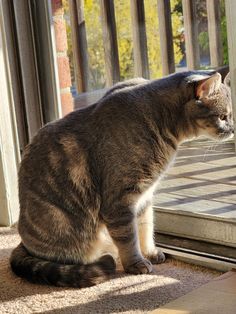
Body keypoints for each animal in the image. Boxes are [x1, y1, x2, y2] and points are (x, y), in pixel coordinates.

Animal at [10, 70, 233, 288]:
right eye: (223, 116)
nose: (232, 129)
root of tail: (24, 241)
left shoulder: (144, 196)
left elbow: (146, 227)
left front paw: (150, 252)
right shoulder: (120, 202)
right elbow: (128, 238)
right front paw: (136, 263)